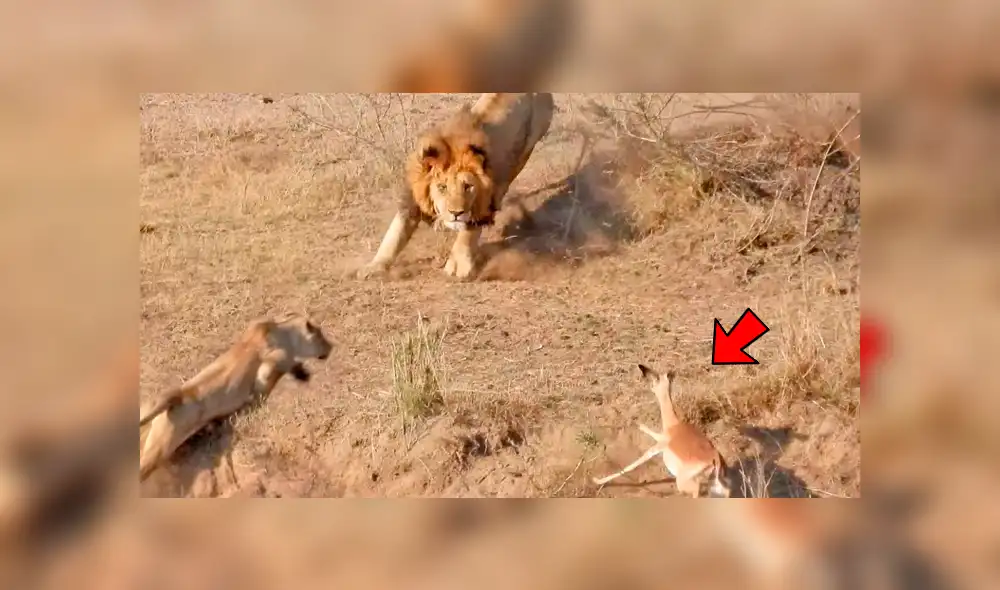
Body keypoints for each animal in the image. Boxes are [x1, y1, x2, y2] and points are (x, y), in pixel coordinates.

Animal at [138, 313, 332, 482]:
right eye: (321, 336)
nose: (331, 347)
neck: (287, 334)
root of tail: (175, 397)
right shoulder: (267, 362)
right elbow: (275, 365)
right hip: (161, 446)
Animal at [356, 92, 555, 280]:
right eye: (442, 187)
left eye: (468, 186)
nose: (456, 213)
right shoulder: (412, 199)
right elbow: (395, 234)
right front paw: (375, 266)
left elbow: (468, 231)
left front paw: (459, 264)